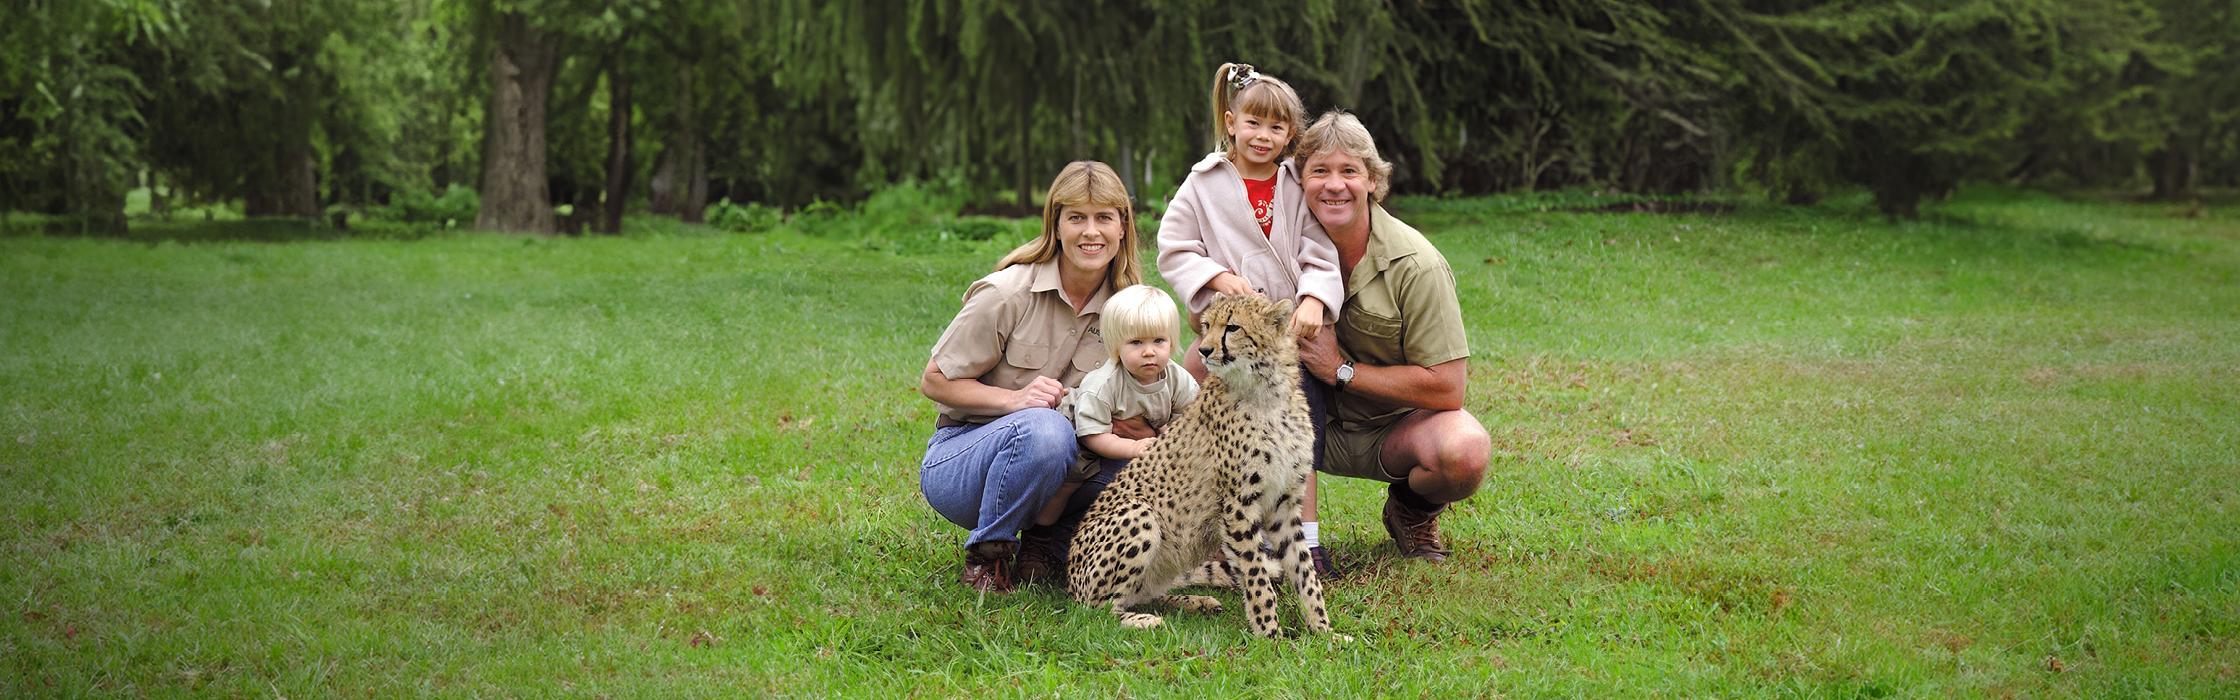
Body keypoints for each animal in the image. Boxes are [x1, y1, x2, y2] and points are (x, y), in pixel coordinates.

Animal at [1061, 291, 1326, 637]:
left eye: (1233, 327)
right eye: (1207, 325)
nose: (1204, 349)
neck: (1269, 393)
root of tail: (1069, 581)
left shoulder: (1284, 502)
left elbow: (1304, 569)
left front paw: (1324, 631)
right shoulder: (1237, 504)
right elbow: (1256, 575)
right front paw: (1271, 635)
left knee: (1141, 594)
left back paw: (1193, 601)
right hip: (1138, 513)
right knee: (1096, 610)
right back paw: (1142, 619)